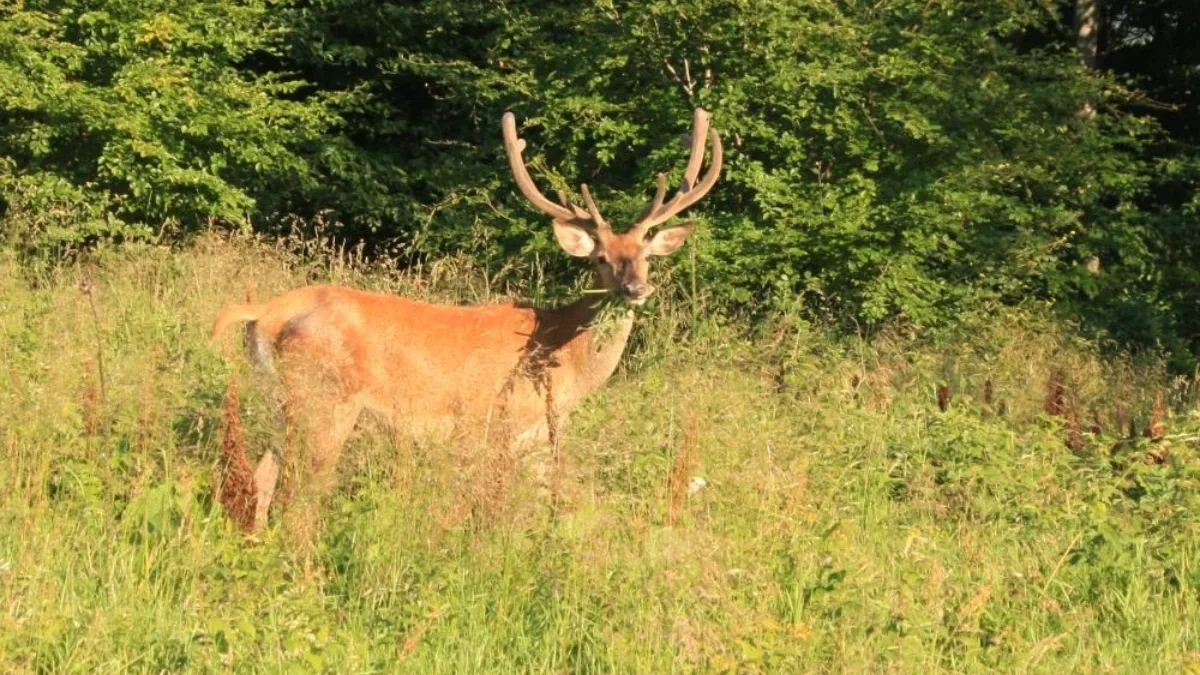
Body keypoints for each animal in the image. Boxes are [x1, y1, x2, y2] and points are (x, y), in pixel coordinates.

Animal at [208, 107, 720, 528]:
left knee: (262, 480)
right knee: (299, 494)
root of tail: (266, 312)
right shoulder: (490, 424)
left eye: (646, 257)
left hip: (279, 402)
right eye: (600, 259)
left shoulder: (537, 440)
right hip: (325, 401)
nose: (634, 289)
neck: (563, 357)